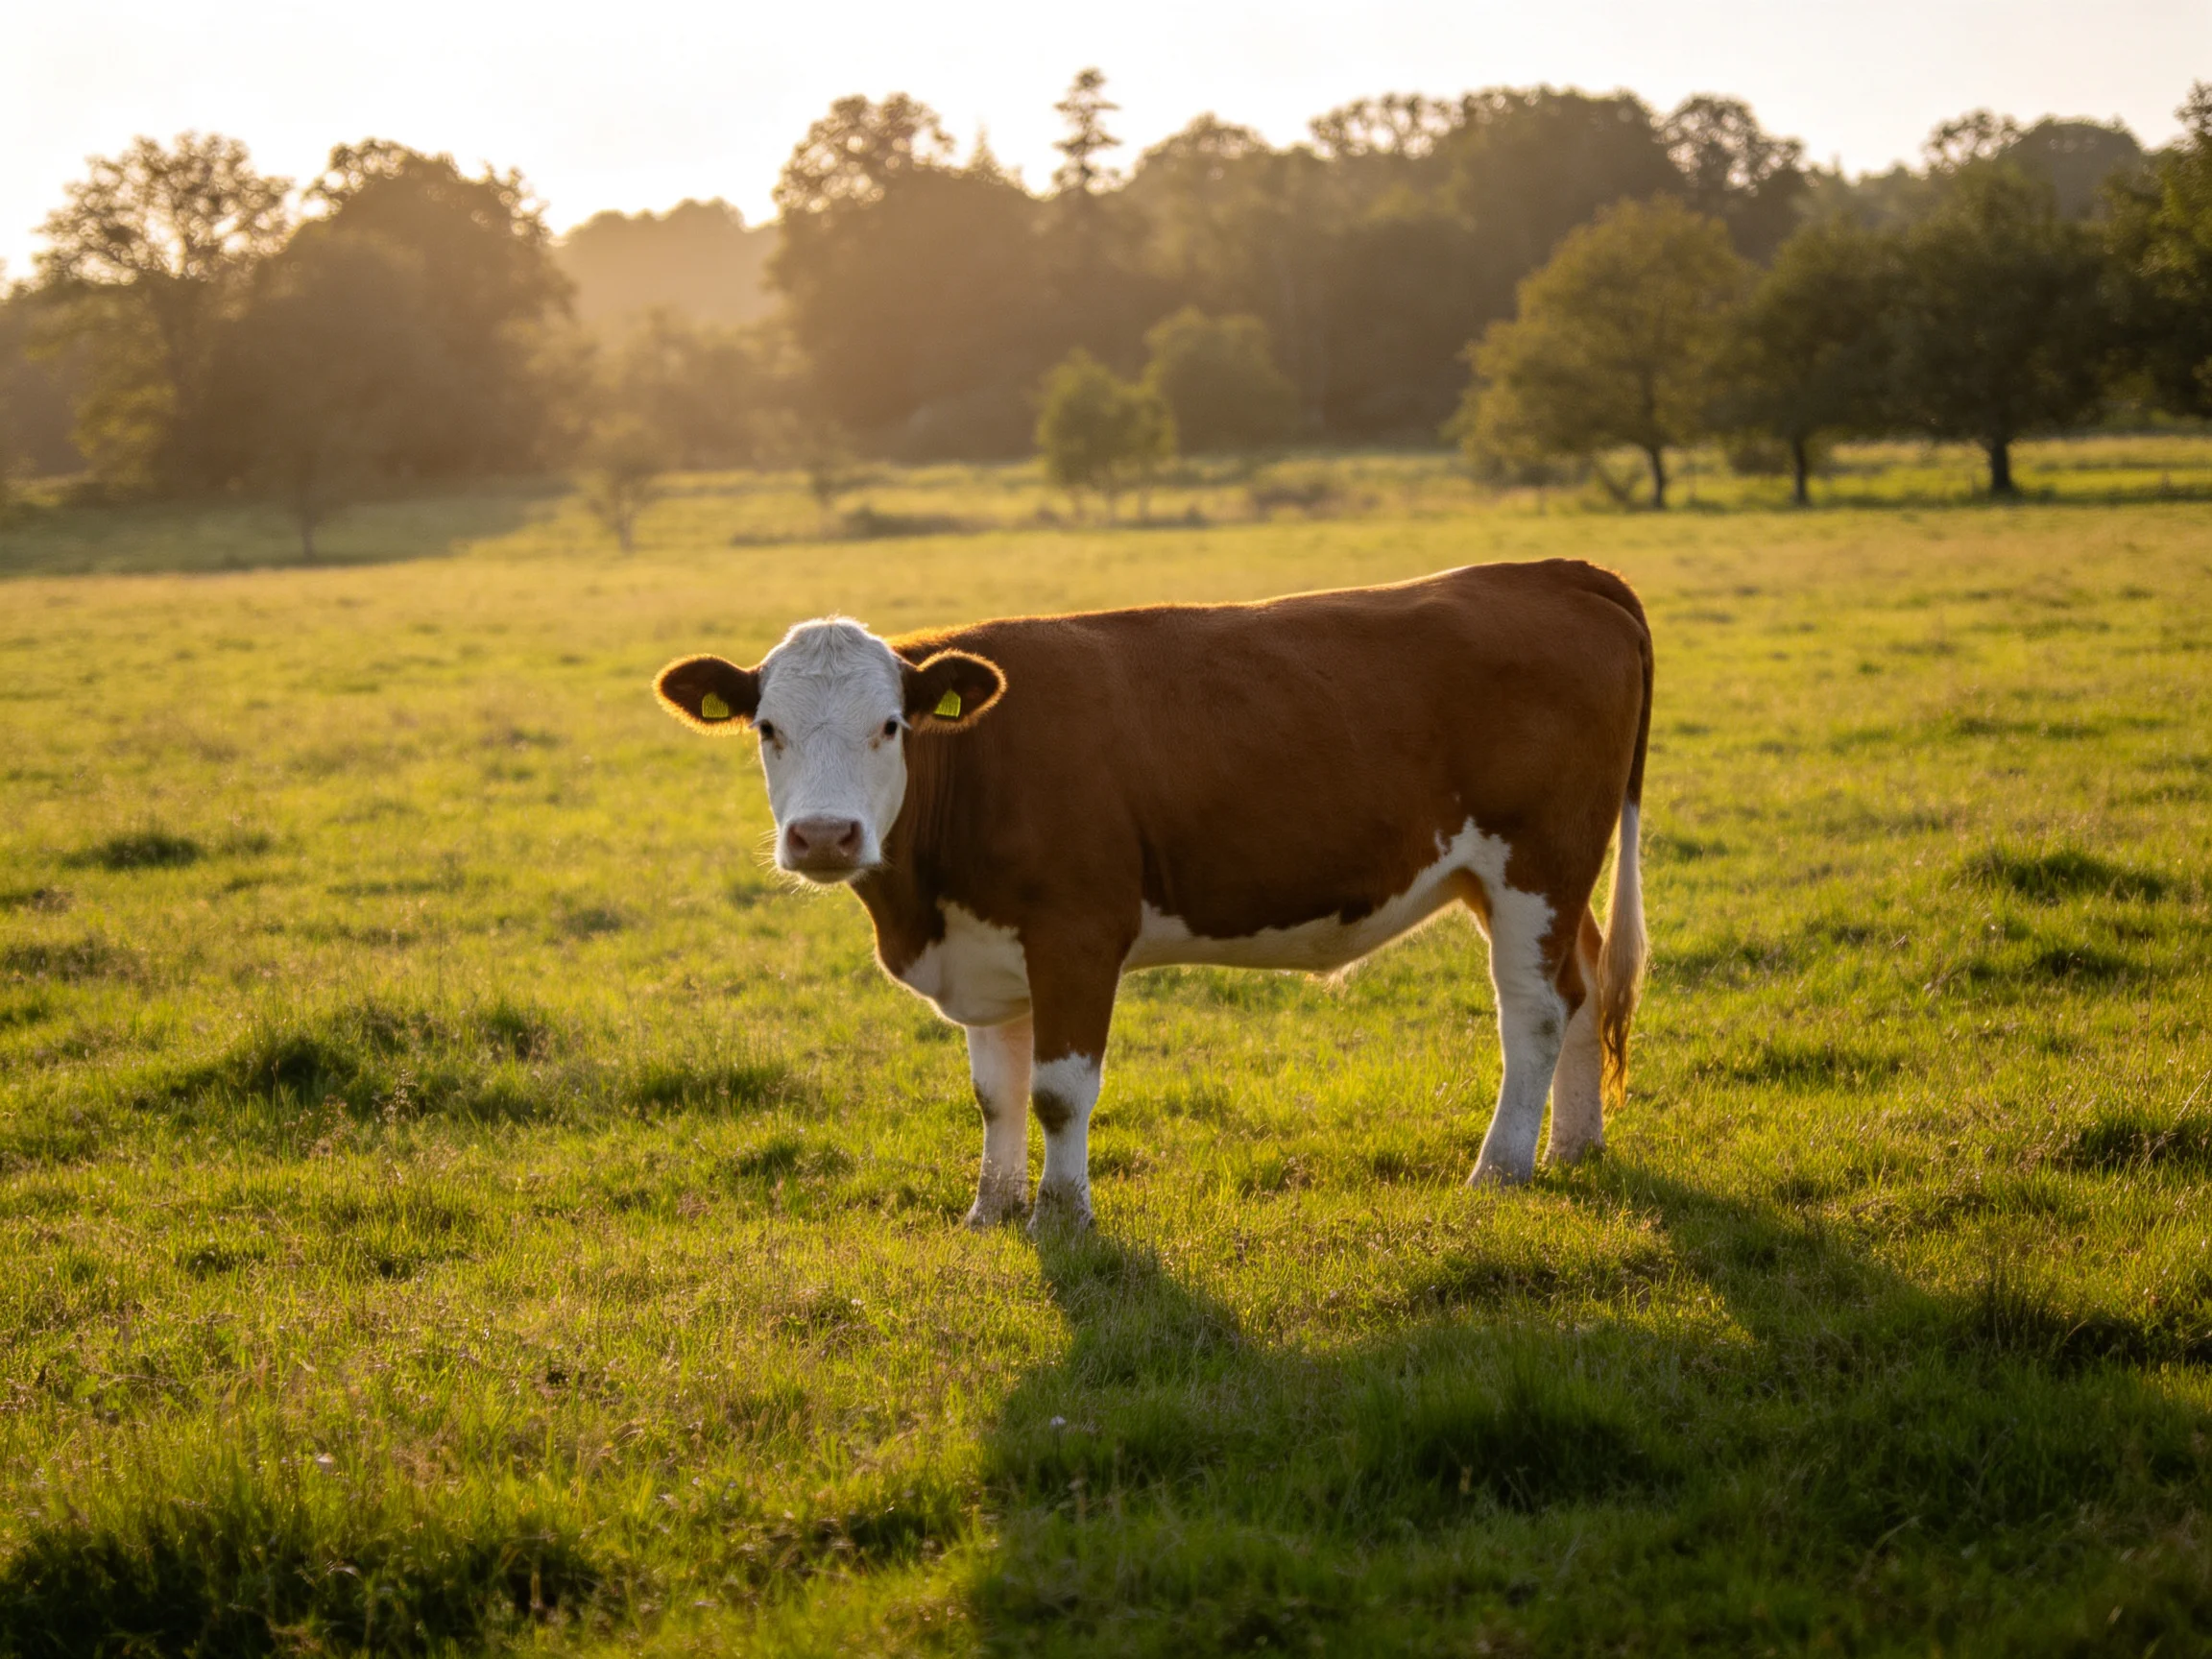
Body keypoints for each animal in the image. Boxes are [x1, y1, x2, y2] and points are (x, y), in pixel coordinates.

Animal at [653, 560, 1651, 1230]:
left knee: (1533, 1008)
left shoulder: (1078, 934)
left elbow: (1058, 1092)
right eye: (767, 728)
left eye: (891, 725)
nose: (825, 836)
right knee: (1581, 987)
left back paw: (1501, 1171)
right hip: (1522, 877)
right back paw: (1575, 1147)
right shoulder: (987, 949)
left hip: (1537, 859)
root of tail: (1546, 575)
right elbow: (995, 1093)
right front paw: (990, 1212)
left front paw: (1062, 1217)